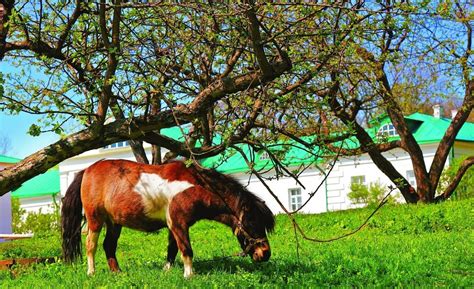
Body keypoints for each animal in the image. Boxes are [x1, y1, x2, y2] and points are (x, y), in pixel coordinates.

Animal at [60, 158, 274, 276]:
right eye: (251, 222)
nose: (265, 254)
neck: (194, 185)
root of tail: (87, 170)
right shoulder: (179, 223)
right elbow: (186, 249)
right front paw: (189, 275)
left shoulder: (174, 225)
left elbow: (172, 249)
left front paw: (168, 270)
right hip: (95, 219)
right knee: (91, 245)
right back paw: (91, 272)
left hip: (115, 222)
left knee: (109, 246)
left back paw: (117, 272)